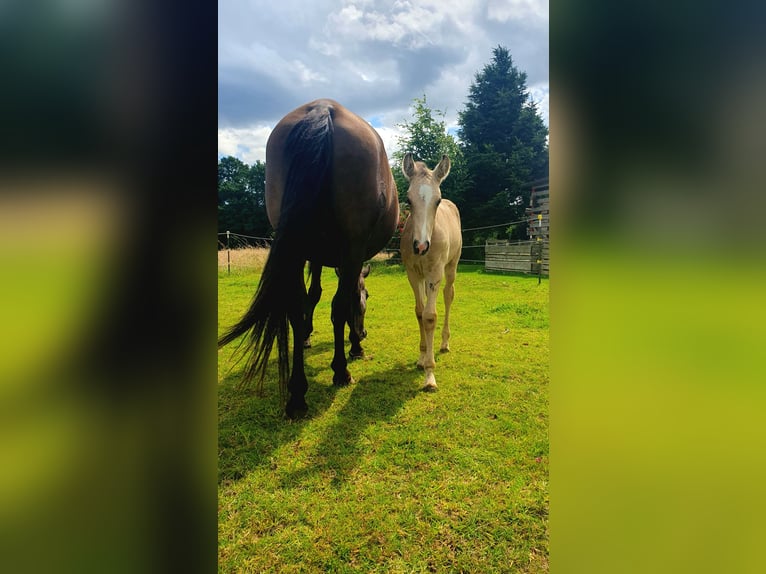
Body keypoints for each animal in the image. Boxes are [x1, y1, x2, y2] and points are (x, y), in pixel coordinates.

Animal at [216, 100, 396, 418]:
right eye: (369, 297)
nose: (363, 333)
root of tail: (323, 109)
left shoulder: (315, 256)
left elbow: (313, 296)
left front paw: (311, 336)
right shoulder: (348, 257)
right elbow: (344, 300)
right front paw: (354, 346)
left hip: (297, 247)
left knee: (296, 310)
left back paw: (297, 394)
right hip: (349, 248)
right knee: (336, 306)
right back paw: (340, 372)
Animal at [402, 154, 462, 392]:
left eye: (437, 201)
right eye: (408, 200)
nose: (420, 246)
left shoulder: (435, 273)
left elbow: (430, 316)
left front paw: (429, 374)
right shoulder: (413, 274)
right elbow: (420, 312)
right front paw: (421, 358)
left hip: (451, 267)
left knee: (448, 296)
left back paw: (444, 343)